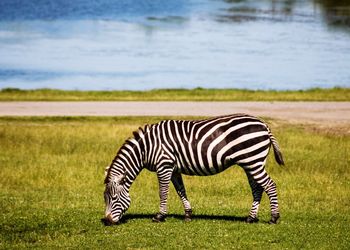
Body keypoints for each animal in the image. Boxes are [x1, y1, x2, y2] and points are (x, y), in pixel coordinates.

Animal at [102, 114, 284, 226]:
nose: (107, 220)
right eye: (105, 198)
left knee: (270, 186)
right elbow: (181, 190)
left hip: (253, 161)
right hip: (251, 163)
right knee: (257, 188)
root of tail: (264, 125)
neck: (145, 148)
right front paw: (188, 214)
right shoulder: (174, 168)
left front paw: (160, 216)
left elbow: (163, 192)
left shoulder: (164, 165)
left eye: (114, 197)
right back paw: (251, 218)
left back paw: (274, 218)